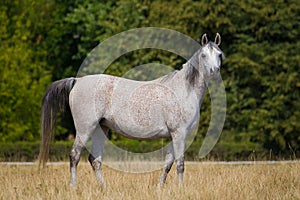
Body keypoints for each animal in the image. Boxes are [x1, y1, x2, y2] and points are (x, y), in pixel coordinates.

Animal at [38, 32, 224, 188]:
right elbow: (180, 164)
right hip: (85, 129)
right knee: (74, 156)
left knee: (94, 160)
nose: (214, 73)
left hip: (100, 129)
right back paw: (73, 187)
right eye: (204, 55)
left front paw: (159, 188)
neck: (184, 89)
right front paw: (180, 189)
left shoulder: (173, 136)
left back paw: (104, 188)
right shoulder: (179, 134)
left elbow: (167, 164)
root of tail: (77, 81)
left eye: (219, 54)